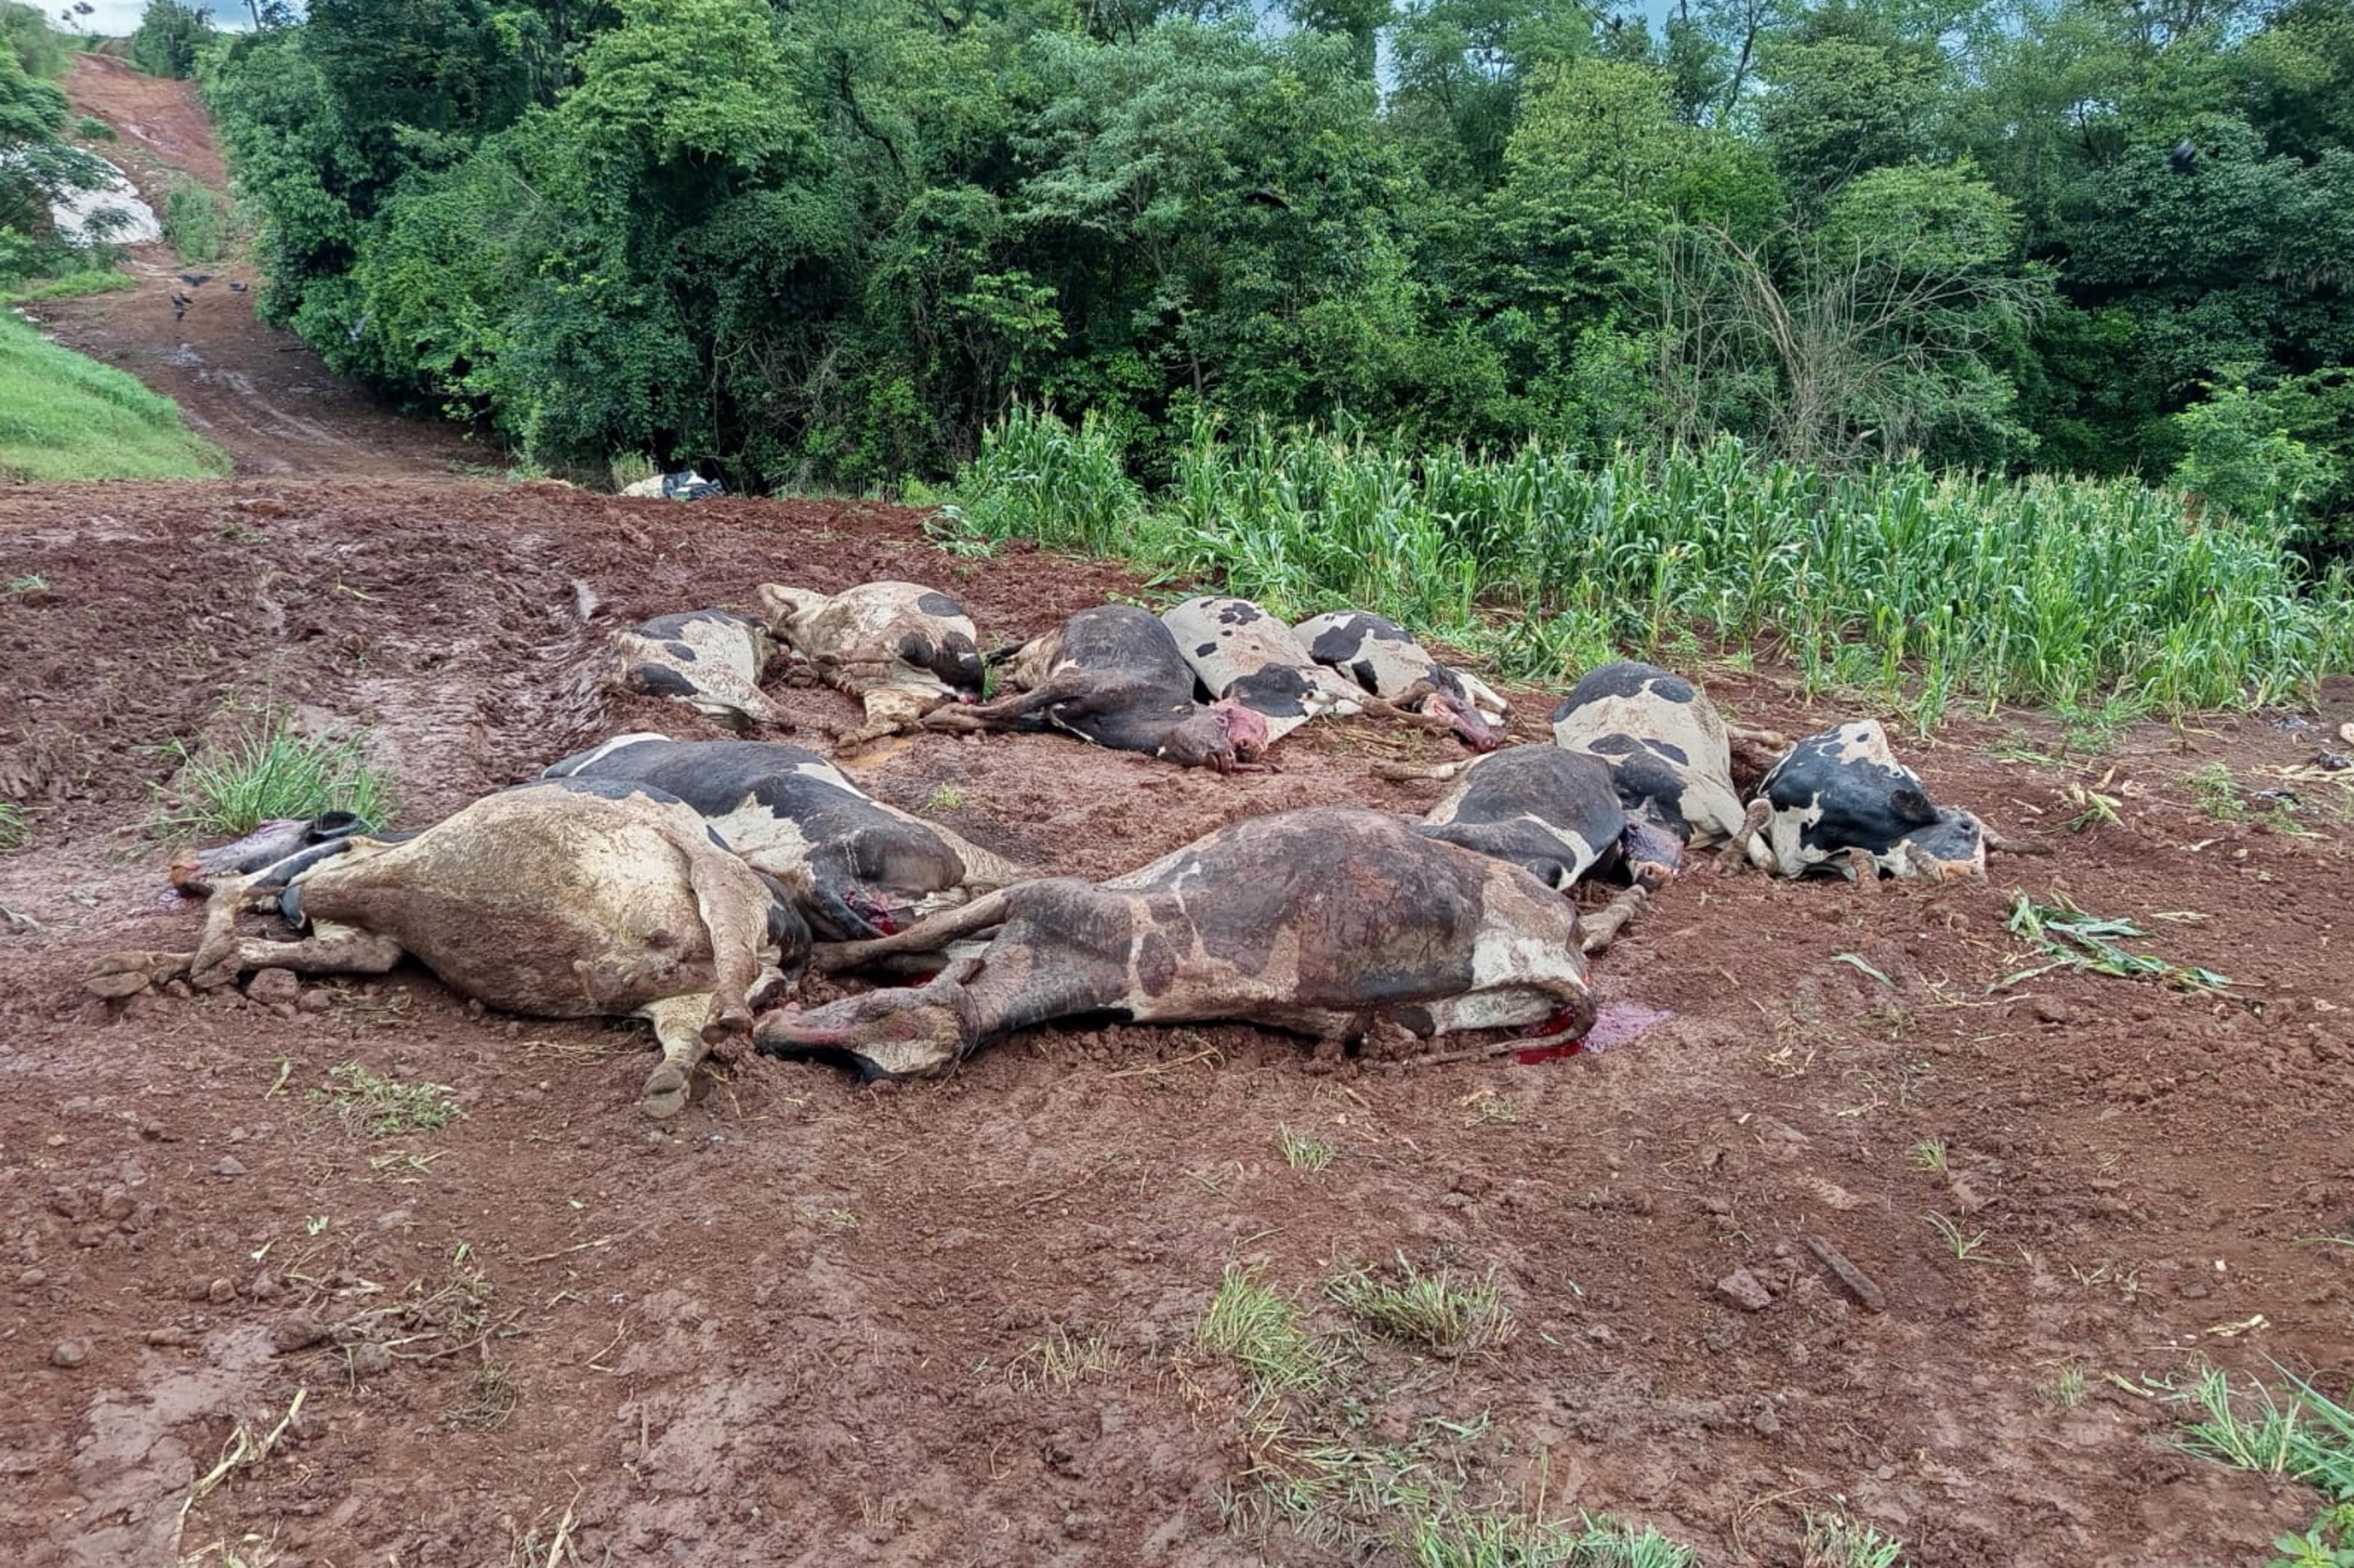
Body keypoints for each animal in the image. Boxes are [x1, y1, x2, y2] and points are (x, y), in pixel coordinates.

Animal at [89, 780, 810, 1119]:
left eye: (270, 823)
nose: (183, 866)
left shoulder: (348, 871)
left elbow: (251, 892)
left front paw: (197, 953)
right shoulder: (367, 936)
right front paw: (144, 968)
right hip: (682, 978)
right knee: (693, 1029)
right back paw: (671, 1077)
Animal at [756, 580, 985, 749]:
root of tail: (973, 689)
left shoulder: (808, 600)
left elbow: (766, 588)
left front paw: (780, 616)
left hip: (920, 631)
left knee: (886, 646)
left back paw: (832, 659)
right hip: (897, 694)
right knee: (884, 721)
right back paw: (847, 737)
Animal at [756, 807, 1598, 1080]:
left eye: (870, 1038)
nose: (772, 1040)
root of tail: (1566, 947)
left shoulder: (1040, 895)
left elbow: (912, 941)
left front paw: (818, 961)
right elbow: (928, 946)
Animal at [921, 605, 1269, 771]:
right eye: (1221, 721)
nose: (1232, 755)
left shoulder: (1051, 718)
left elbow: (1009, 719)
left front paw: (952, 719)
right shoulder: (1072, 682)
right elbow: (1009, 707)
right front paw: (939, 715)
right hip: (1049, 636)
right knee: (1011, 650)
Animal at [1293, 610, 1508, 750]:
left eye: (1463, 704)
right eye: (1443, 712)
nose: (1491, 741)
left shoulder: (1459, 675)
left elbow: (1501, 702)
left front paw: (1500, 717)